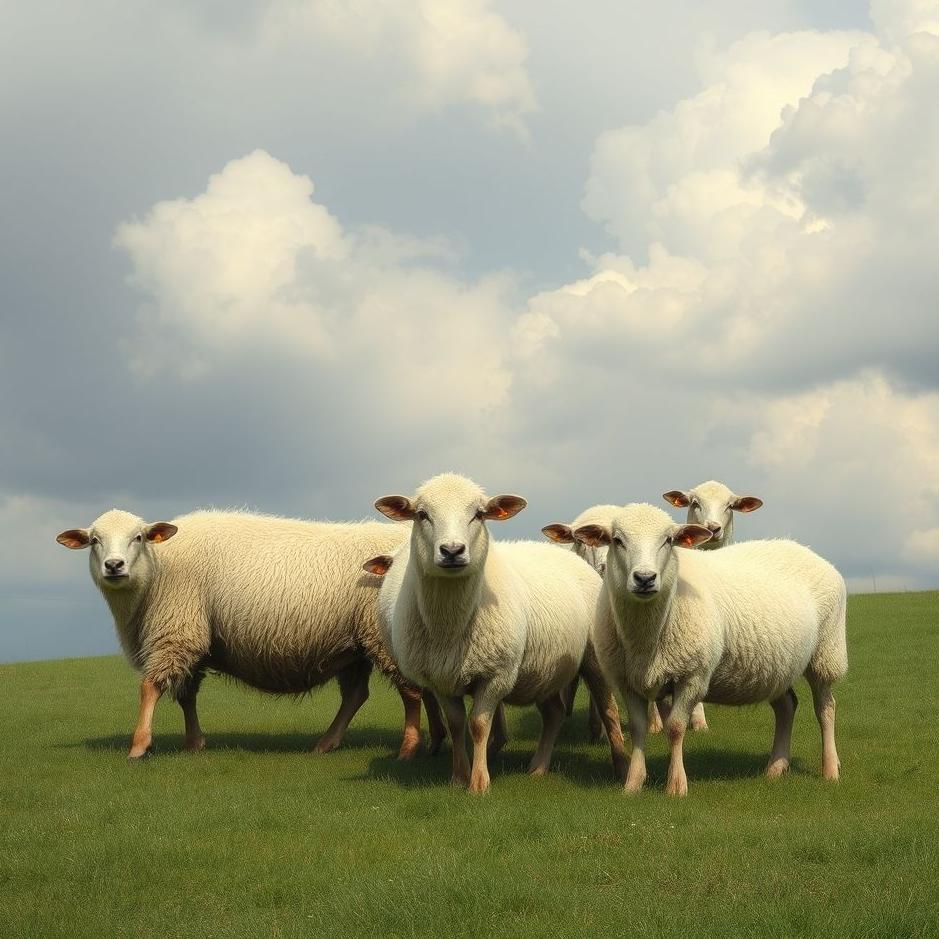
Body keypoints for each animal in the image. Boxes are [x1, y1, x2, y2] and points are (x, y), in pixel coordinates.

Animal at [56, 509, 446, 761]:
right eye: (94, 541)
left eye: (137, 537)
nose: (114, 566)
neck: (156, 571)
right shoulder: (193, 637)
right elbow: (187, 696)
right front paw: (194, 743)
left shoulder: (179, 630)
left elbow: (149, 687)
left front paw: (139, 746)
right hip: (360, 642)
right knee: (363, 694)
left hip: (381, 636)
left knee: (411, 691)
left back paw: (409, 748)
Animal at [371, 473, 627, 793]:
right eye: (422, 515)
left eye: (479, 514)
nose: (452, 551)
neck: (450, 625)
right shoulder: (441, 678)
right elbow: (457, 724)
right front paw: (458, 777)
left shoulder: (496, 675)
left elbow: (479, 725)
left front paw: (479, 783)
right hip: (543, 668)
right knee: (554, 713)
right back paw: (538, 767)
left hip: (592, 659)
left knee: (609, 711)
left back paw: (620, 767)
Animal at [574, 503, 847, 796]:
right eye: (617, 540)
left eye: (668, 540)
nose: (645, 578)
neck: (644, 636)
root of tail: (805, 549)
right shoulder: (626, 680)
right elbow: (638, 729)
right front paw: (633, 784)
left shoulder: (692, 676)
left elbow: (675, 728)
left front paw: (676, 785)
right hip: (776, 665)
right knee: (786, 707)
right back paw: (776, 767)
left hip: (826, 653)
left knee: (826, 708)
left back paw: (830, 770)